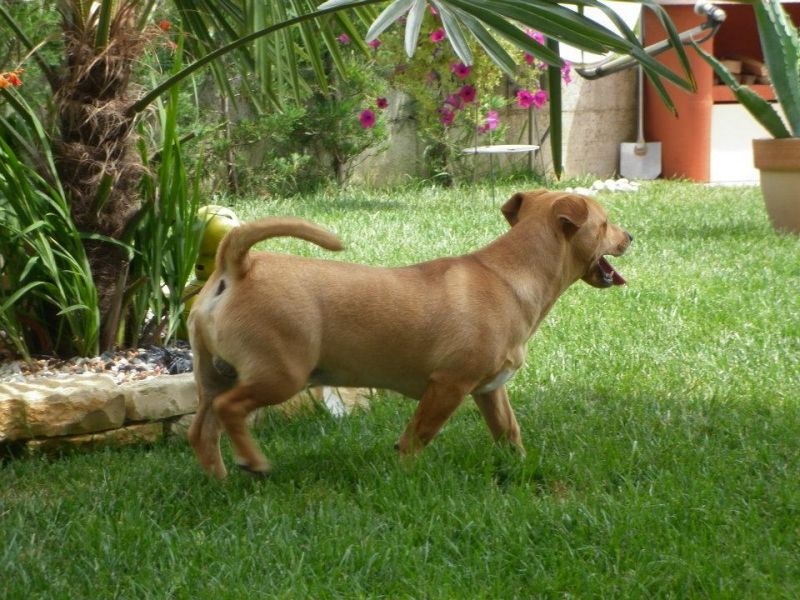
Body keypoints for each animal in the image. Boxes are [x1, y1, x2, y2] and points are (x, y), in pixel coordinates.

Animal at [188, 188, 632, 478]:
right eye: (606, 223)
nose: (630, 236)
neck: (510, 275)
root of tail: (238, 267)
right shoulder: (449, 385)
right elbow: (418, 435)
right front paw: (405, 476)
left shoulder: (490, 390)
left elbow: (509, 430)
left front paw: (520, 466)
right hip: (281, 376)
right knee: (230, 409)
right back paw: (252, 462)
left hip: (212, 376)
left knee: (202, 430)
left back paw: (219, 479)